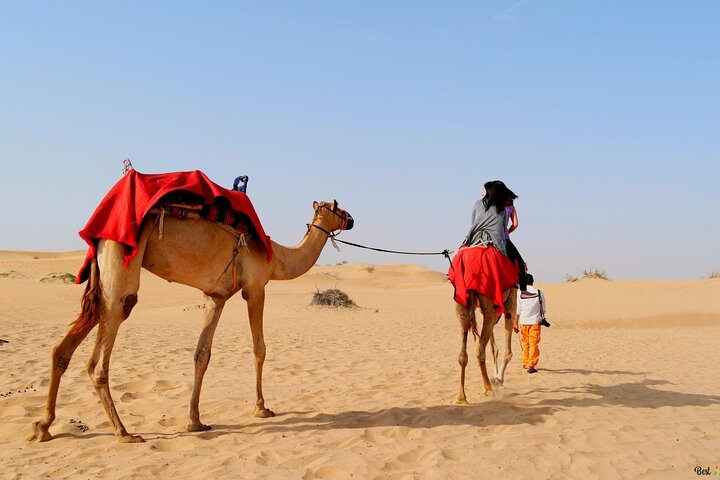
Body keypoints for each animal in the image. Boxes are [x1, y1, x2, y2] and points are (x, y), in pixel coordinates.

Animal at [29, 200, 353, 443]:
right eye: (338, 207)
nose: (351, 219)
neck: (277, 258)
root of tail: (100, 235)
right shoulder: (256, 287)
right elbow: (259, 348)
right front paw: (262, 408)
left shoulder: (216, 297)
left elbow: (202, 354)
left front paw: (195, 421)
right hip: (121, 268)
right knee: (100, 355)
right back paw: (124, 433)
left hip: (100, 284)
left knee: (64, 348)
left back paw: (43, 427)